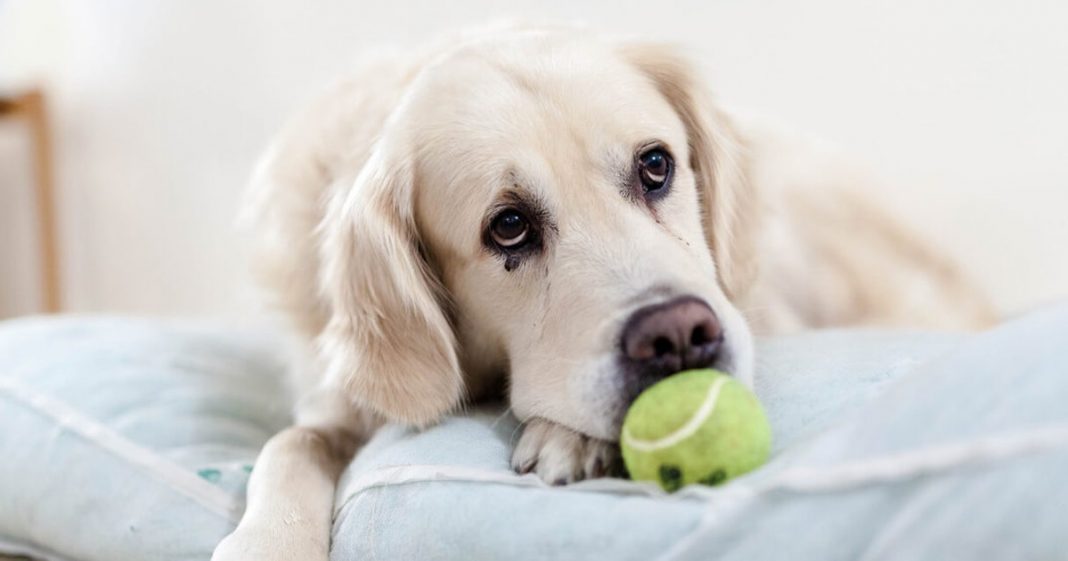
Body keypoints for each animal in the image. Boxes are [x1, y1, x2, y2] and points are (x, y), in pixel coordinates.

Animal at [208, 25, 991, 559]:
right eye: (509, 227)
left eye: (656, 165)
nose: (678, 335)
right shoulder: (337, 402)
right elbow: (289, 445)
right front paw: (266, 541)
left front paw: (569, 434)